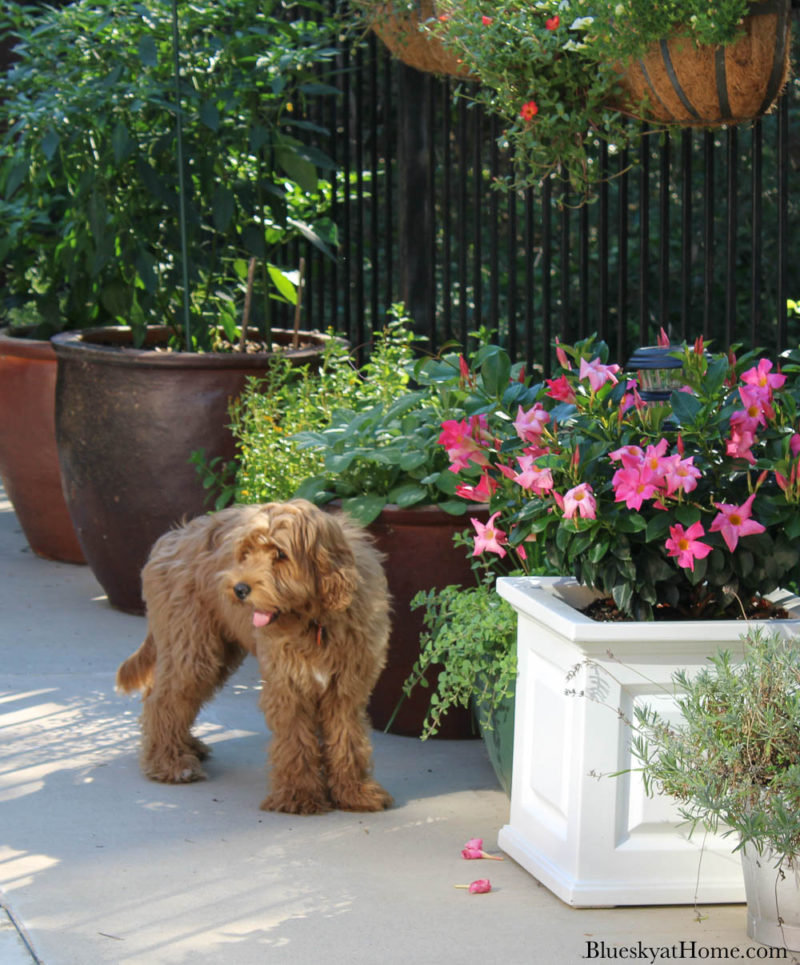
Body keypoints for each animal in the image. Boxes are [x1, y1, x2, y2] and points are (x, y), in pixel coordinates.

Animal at [116, 498, 394, 812]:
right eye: (246, 552)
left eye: (281, 554)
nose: (239, 589)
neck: (315, 620)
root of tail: (170, 539)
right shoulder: (287, 684)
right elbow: (295, 740)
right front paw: (298, 795)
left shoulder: (346, 688)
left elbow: (348, 739)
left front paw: (355, 792)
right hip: (191, 648)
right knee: (162, 701)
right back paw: (171, 763)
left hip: (215, 653)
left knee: (179, 701)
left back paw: (188, 747)